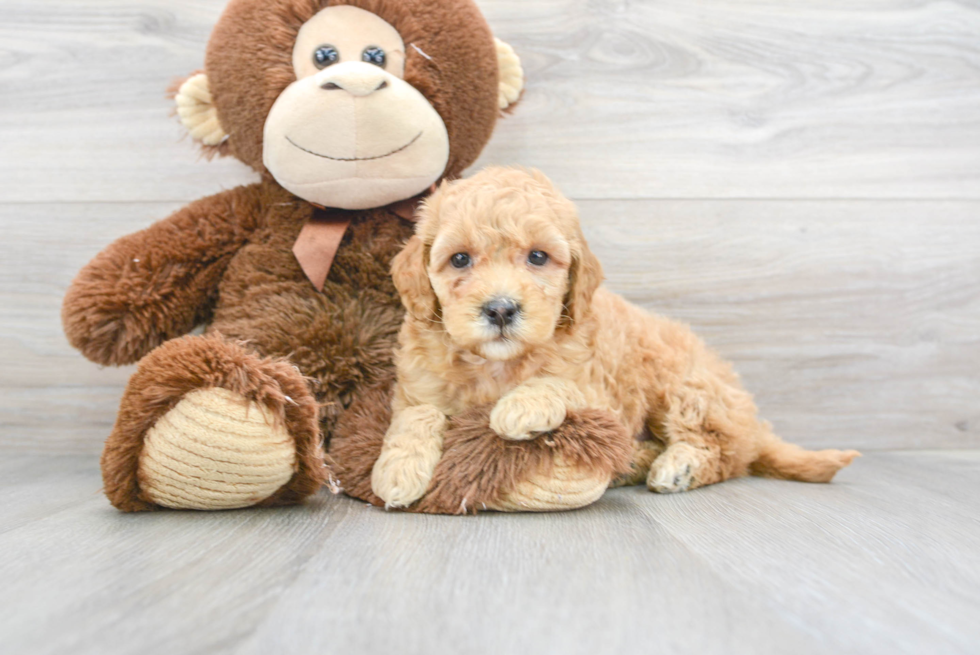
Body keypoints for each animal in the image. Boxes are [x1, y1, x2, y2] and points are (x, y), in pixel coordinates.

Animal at [372, 167, 860, 510]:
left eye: (537, 257)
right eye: (459, 259)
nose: (501, 309)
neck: (498, 364)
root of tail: (752, 421)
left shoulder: (601, 393)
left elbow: (558, 384)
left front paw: (520, 407)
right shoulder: (418, 384)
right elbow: (417, 415)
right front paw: (398, 470)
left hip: (686, 387)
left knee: (723, 451)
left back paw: (677, 467)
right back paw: (635, 464)